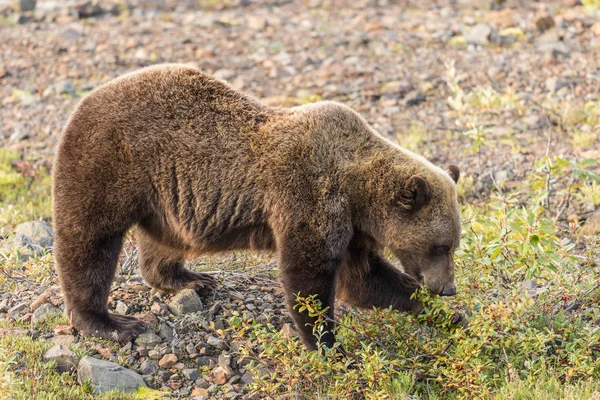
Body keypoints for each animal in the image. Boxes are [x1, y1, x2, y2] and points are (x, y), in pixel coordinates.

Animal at [54, 64, 462, 352]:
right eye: (440, 246)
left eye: (454, 245)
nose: (448, 288)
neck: (358, 193)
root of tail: (87, 98)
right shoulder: (311, 197)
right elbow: (308, 278)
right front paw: (328, 345)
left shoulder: (353, 230)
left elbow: (364, 280)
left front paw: (448, 316)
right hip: (110, 162)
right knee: (89, 241)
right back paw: (108, 322)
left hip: (165, 199)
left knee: (165, 240)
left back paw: (191, 278)